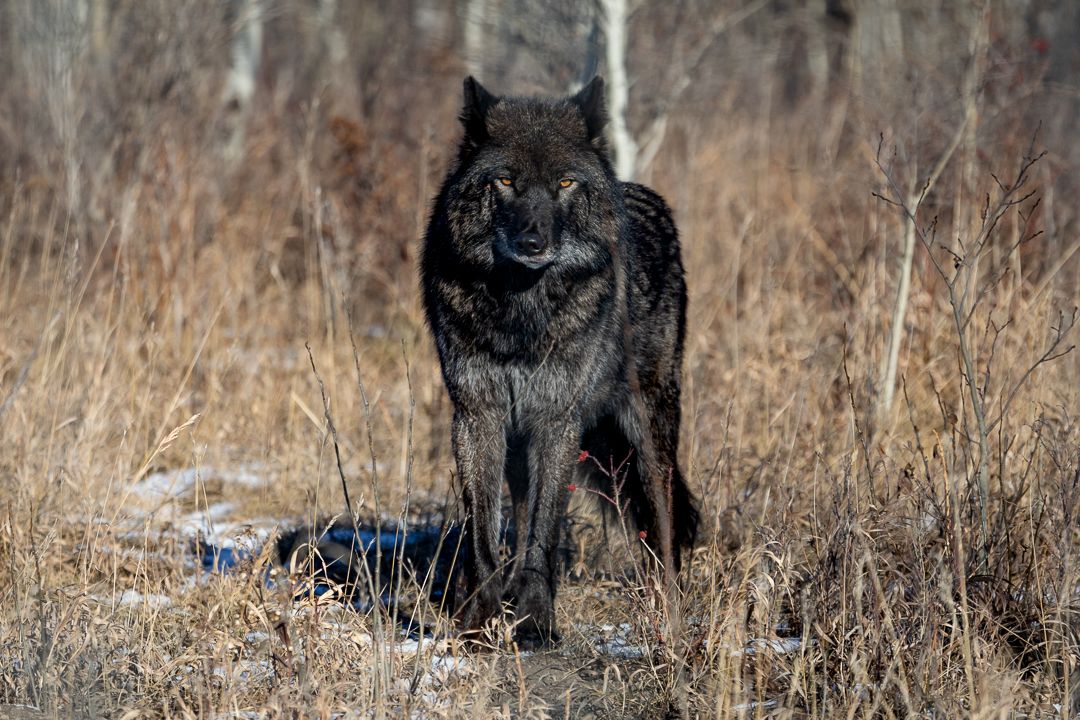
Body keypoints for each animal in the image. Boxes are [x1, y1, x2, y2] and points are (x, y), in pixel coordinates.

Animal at [420, 76, 699, 649]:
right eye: (506, 180)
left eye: (565, 183)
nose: (533, 242)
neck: (520, 310)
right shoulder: (478, 415)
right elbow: (484, 531)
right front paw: (483, 617)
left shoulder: (557, 419)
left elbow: (545, 530)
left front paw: (533, 621)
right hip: (523, 442)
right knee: (521, 509)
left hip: (649, 433)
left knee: (662, 523)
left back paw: (668, 611)